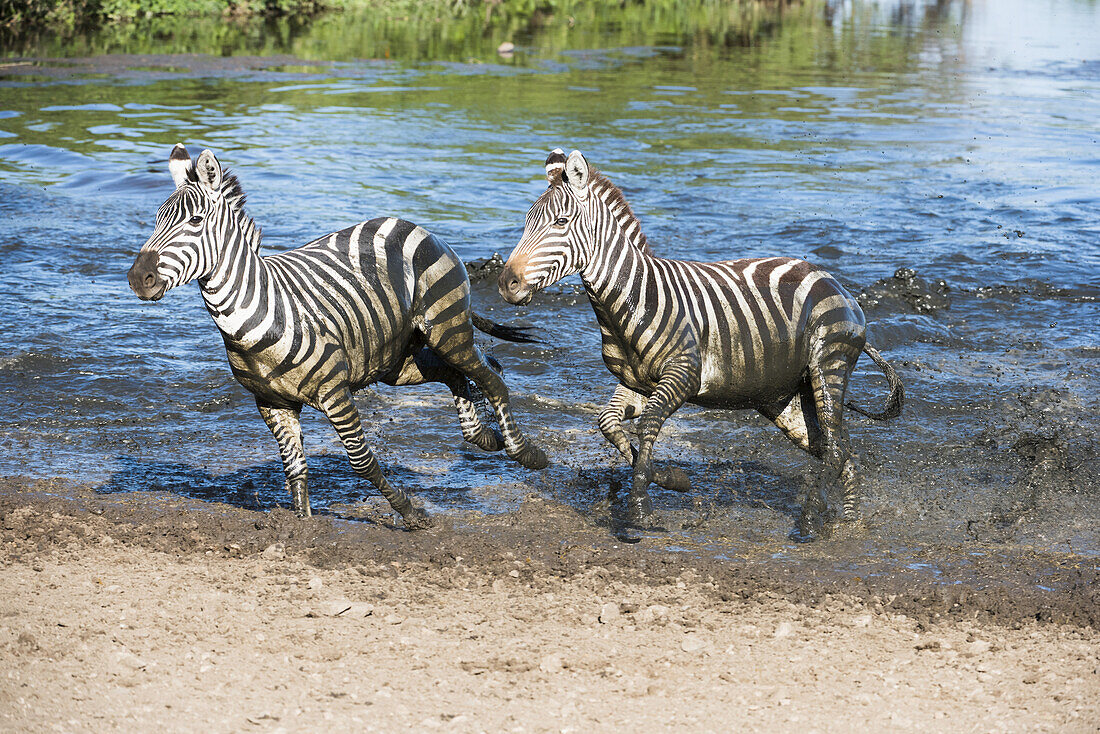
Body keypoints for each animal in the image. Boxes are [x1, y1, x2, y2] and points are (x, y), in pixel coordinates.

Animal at [128, 145, 550, 528]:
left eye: (196, 221)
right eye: (156, 220)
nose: (136, 278)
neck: (253, 319)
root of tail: (409, 224)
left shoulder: (334, 391)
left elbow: (361, 461)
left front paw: (412, 513)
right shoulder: (272, 403)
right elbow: (295, 469)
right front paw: (303, 524)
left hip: (447, 329)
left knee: (490, 375)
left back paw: (526, 453)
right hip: (396, 360)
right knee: (463, 372)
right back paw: (487, 437)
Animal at [499, 149, 902, 539]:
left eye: (560, 223)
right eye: (526, 222)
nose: (505, 284)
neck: (633, 298)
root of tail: (837, 285)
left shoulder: (683, 375)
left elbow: (647, 426)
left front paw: (639, 509)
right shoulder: (635, 382)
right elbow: (608, 422)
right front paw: (671, 478)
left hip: (828, 366)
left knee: (834, 451)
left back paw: (809, 523)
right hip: (785, 398)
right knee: (842, 452)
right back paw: (848, 523)